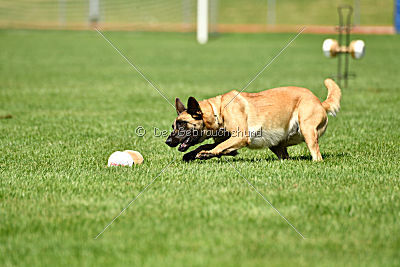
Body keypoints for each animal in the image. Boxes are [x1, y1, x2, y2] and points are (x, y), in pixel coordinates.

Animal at [166, 78, 340, 162]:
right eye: (174, 125)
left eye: (183, 124)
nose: (168, 141)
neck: (218, 111)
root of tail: (320, 103)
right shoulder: (225, 138)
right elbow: (210, 145)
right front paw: (194, 154)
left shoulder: (240, 137)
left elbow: (217, 147)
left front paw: (206, 154)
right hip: (276, 144)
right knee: (285, 156)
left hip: (306, 129)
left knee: (317, 156)